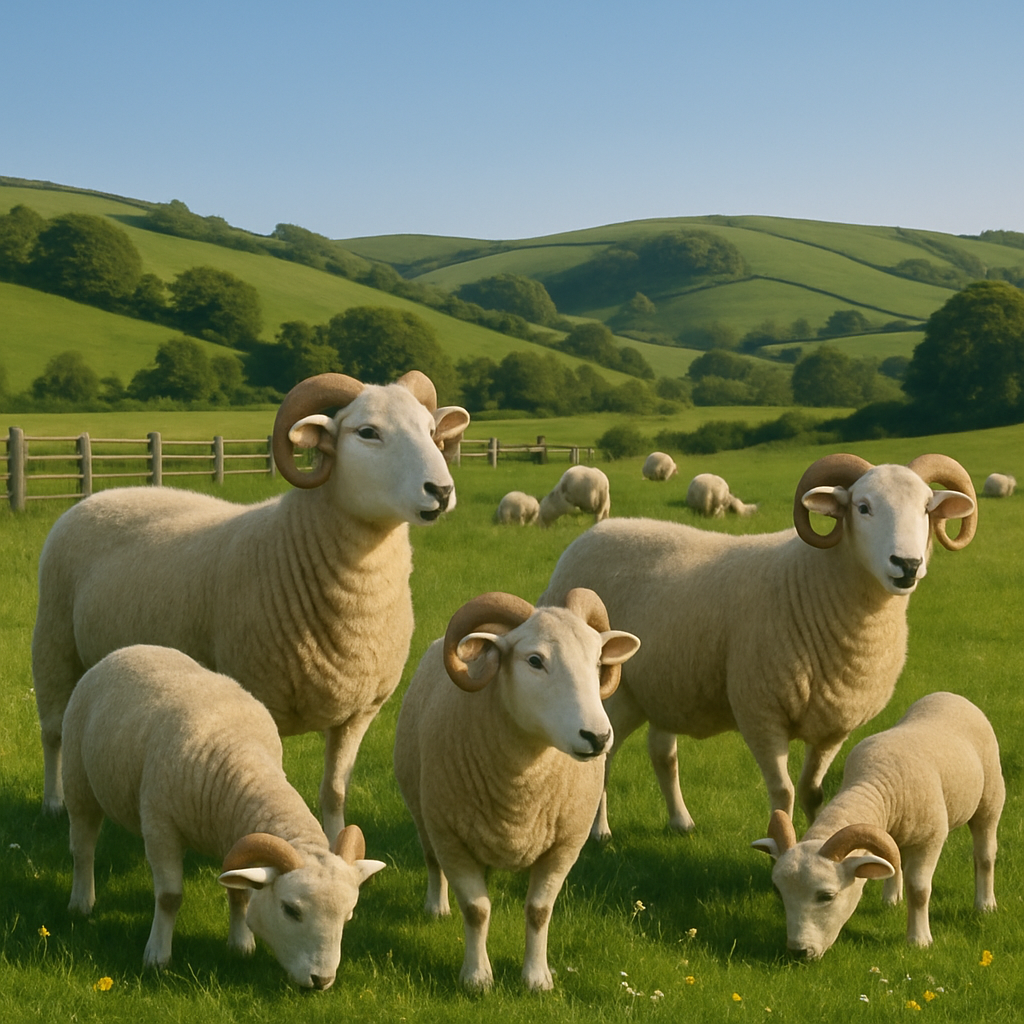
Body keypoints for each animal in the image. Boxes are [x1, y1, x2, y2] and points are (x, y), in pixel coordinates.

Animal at [33, 370, 470, 842]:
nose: (441, 491)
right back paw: (53, 802)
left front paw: (338, 843)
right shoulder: (258, 698)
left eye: (431, 431)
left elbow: (334, 791)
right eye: (367, 432)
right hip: (53, 642)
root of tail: (103, 494)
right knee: (53, 731)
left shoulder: (359, 712)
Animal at [61, 644, 387, 986]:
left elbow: (239, 894)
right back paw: (81, 902)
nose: (321, 981)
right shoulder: (161, 826)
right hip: (77, 779)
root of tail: (133, 648)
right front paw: (157, 956)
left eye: (348, 915)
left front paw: (241, 946)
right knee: (83, 848)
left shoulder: (235, 837)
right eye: (290, 910)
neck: (243, 758)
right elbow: (169, 897)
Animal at [393, 589, 640, 992]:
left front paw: (537, 979)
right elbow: (476, 910)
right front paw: (477, 978)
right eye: (535, 660)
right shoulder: (451, 837)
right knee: (431, 861)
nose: (598, 737)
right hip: (423, 812)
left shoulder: (565, 845)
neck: (521, 790)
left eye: (598, 661)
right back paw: (437, 907)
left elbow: (539, 911)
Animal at [539, 453, 978, 842]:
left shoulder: (834, 725)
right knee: (604, 759)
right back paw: (599, 832)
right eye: (863, 507)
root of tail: (588, 536)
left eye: (927, 509)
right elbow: (783, 792)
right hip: (613, 693)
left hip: (663, 688)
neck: (814, 584)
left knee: (662, 753)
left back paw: (681, 822)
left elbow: (813, 792)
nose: (907, 565)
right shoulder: (761, 714)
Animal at [752, 692, 1004, 959]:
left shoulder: (930, 839)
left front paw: (919, 940)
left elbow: (919, 890)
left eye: (826, 896)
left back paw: (985, 904)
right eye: (779, 891)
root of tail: (949, 695)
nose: (798, 951)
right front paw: (895, 902)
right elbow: (894, 865)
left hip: (991, 798)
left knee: (985, 854)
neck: (873, 782)